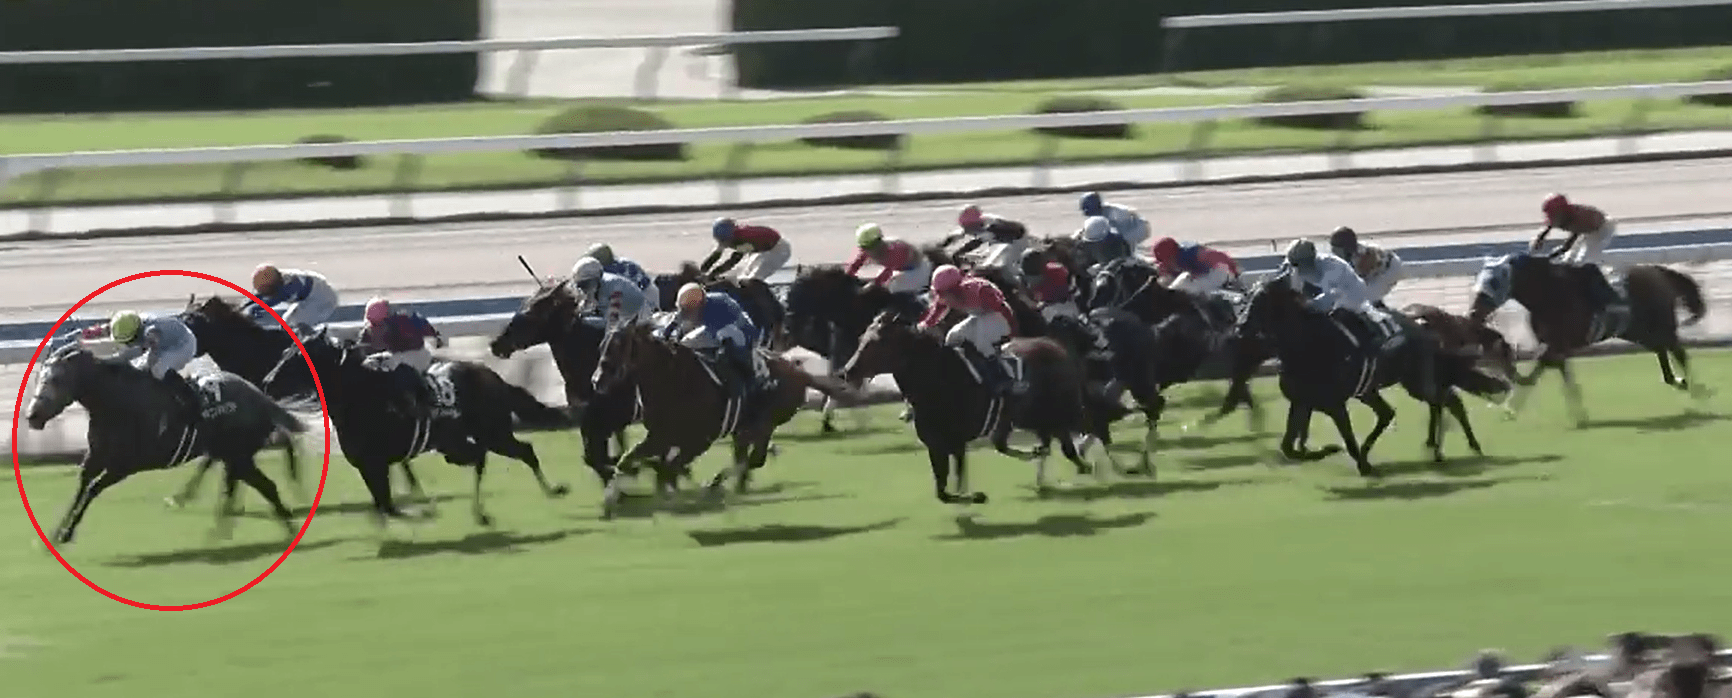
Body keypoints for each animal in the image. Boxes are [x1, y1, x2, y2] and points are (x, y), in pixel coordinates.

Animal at [23, 344, 308, 546]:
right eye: (40, 377)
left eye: (57, 379)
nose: (32, 416)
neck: (114, 403)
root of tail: (260, 397)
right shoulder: (96, 457)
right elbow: (81, 486)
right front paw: (56, 533)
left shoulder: (124, 466)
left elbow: (92, 489)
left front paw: (66, 532)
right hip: (232, 455)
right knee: (239, 487)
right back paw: (225, 530)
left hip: (238, 454)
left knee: (263, 486)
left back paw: (283, 528)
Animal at [262, 330, 572, 528]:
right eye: (284, 351)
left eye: (295, 357)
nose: (266, 381)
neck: (363, 395)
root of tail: (491, 375)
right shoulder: (367, 465)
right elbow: (383, 506)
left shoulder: (378, 463)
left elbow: (390, 507)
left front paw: (426, 511)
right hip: (457, 445)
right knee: (491, 455)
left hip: (494, 434)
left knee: (515, 452)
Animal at [592, 322, 855, 518]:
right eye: (602, 344)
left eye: (619, 346)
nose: (596, 380)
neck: (674, 380)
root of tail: (799, 371)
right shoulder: (660, 437)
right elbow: (629, 460)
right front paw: (611, 499)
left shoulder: (698, 440)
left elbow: (666, 469)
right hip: (743, 431)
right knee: (744, 459)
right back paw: (731, 486)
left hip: (764, 425)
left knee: (753, 459)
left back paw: (716, 485)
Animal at [838, 308, 1094, 503]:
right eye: (861, 340)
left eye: (877, 343)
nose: (846, 371)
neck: (937, 379)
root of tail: (1054, 343)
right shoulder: (936, 444)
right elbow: (943, 491)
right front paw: (971, 495)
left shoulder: (956, 440)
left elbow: (957, 478)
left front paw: (973, 495)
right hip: (1027, 416)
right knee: (1033, 442)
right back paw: (1049, 460)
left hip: (1060, 408)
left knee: (1070, 437)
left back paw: (1079, 464)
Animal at [1468, 253, 1709, 425]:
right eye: (1479, 280)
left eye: (1494, 282)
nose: (1473, 313)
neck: (1548, 294)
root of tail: (1656, 270)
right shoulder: (1555, 345)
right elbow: (1560, 373)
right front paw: (1579, 414)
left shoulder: (1559, 344)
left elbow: (1538, 369)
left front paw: (1511, 405)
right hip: (1637, 331)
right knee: (1662, 350)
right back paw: (1679, 381)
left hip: (1662, 325)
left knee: (1678, 351)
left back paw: (1695, 388)